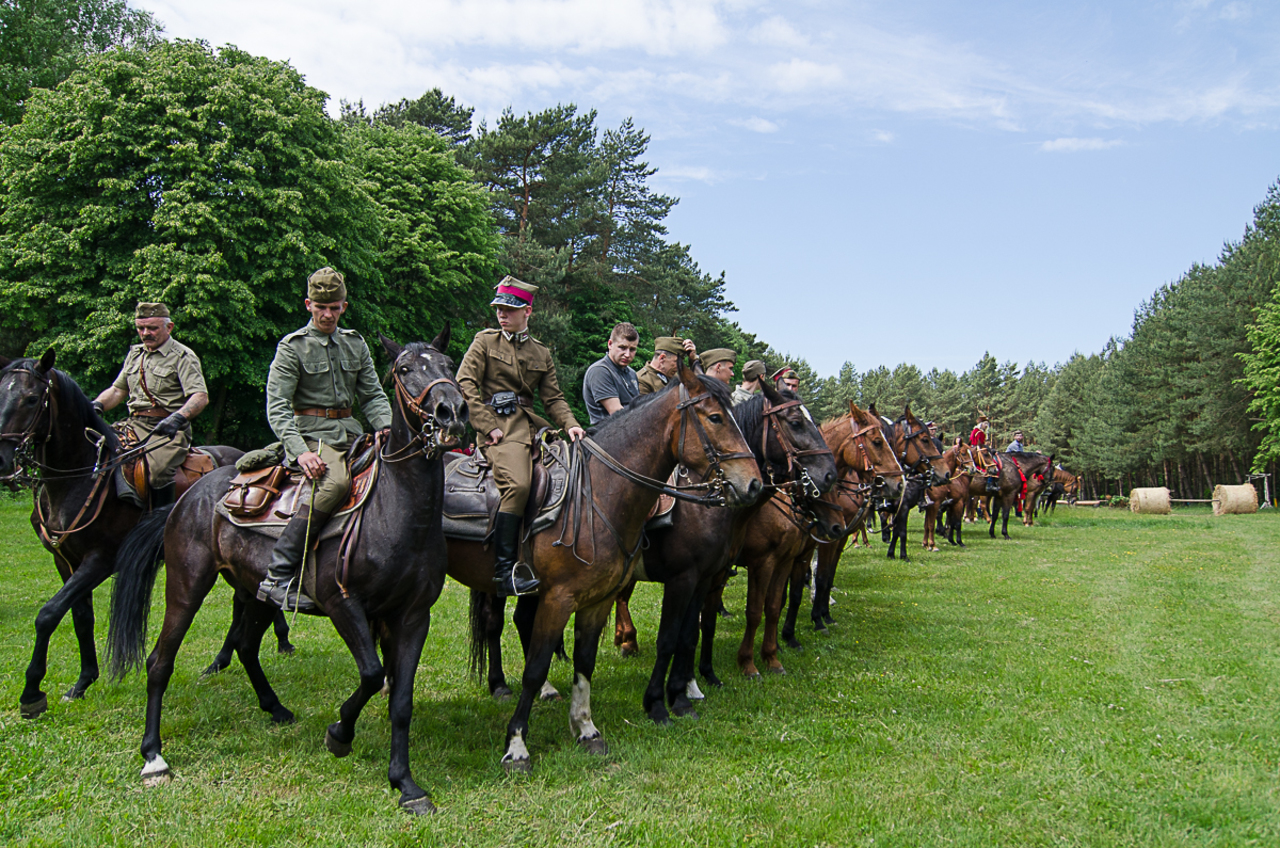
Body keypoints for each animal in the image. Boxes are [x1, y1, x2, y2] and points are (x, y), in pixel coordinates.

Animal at [0, 348, 262, 722]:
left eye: (32, 398)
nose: (2, 460)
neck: (81, 477)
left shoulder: (101, 560)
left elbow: (48, 614)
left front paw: (32, 693)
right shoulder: (65, 561)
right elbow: (80, 617)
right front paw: (82, 682)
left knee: (240, 601)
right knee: (241, 599)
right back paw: (225, 659)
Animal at [104, 327, 465, 814]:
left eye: (448, 364)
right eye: (405, 369)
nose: (452, 411)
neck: (396, 510)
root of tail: (190, 496)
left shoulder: (411, 617)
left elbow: (401, 701)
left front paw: (405, 784)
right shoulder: (342, 604)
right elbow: (372, 676)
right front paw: (339, 735)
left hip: (253, 593)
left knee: (244, 646)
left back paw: (274, 707)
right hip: (185, 585)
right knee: (160, 661)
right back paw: (153, 756)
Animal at [448, 361, 757, 773]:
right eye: (716, 417)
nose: (753, 483)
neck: (599, 491)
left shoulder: (603, 599)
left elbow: (588, 661)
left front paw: (587, 729)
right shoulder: (564, 598)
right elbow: (537, 667)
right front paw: (517, 745)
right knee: (494, 623)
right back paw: (497, 686)